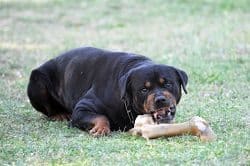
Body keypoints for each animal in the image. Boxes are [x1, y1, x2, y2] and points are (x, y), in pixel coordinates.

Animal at [27, 46, 188, 136]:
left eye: (167, 83)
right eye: (143, 90)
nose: (160, 99)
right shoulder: (81, 109)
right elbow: (100, 116)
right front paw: (101, 128)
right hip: (38, 81)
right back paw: (59, 114)